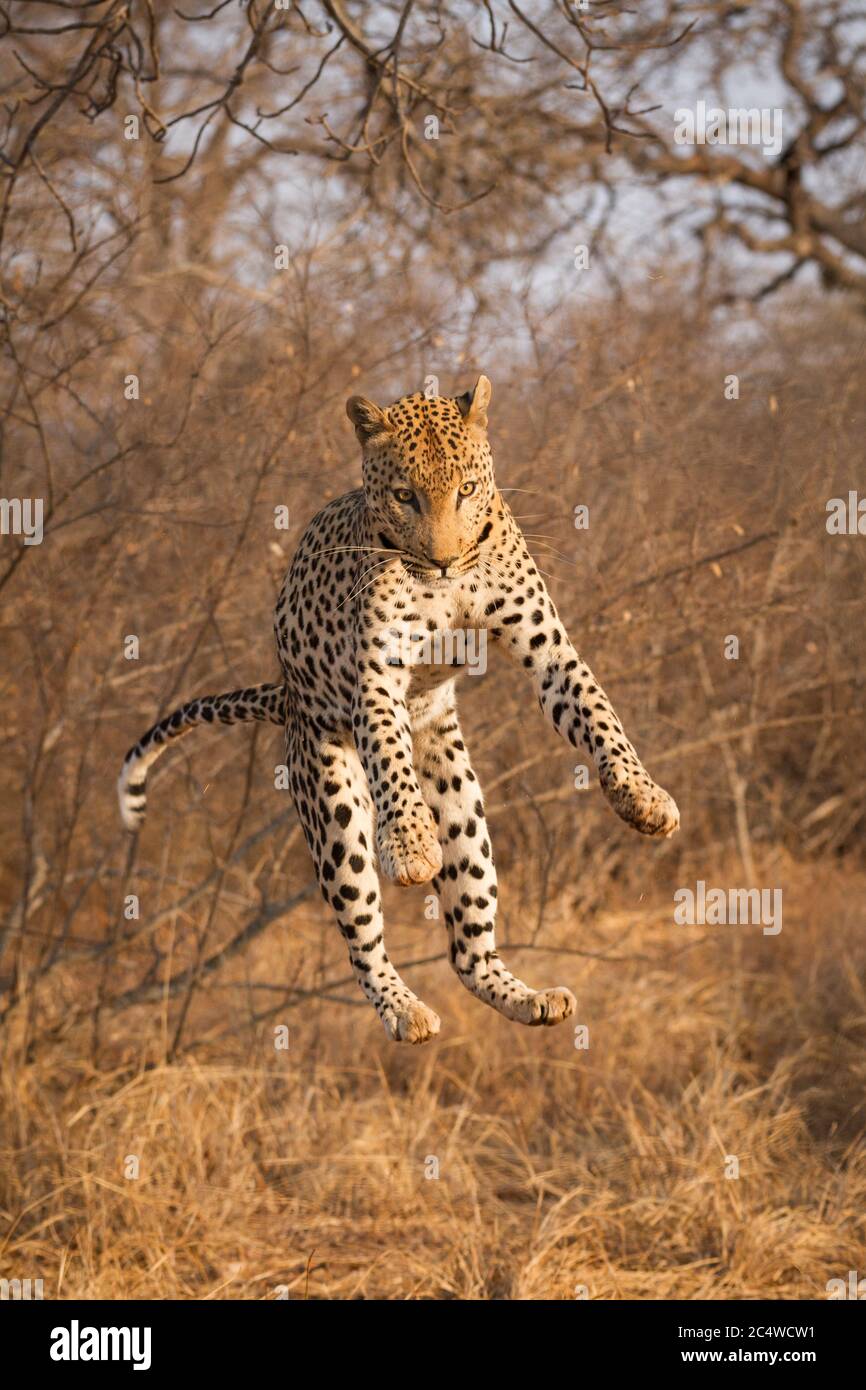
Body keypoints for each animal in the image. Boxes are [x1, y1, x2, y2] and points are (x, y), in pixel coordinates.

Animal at [118, 375, 679, 1044]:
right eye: (405, 496)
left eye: (466, 489)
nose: (442, 559)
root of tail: (288, 695)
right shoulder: (377, 677)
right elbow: (388, 752)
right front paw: (411, 847)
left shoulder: (548, 648)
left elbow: (599, 714)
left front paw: (643, 797)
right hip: (331, 801)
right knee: (363, 936)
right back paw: (404, 1008)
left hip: (464, 809)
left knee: (467, 950)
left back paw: (531, 998)